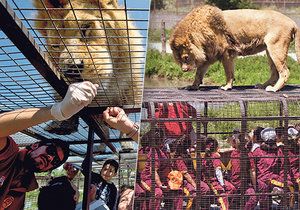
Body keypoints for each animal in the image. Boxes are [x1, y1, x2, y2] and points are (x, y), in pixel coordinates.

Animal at [170, 4, 298, 92]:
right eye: (179, 59)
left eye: (186, 57)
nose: (184, 70)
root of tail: (292, 22)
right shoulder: (208, 56)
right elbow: (199, 73)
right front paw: (193, 86)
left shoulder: (227, 52)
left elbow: (229, 72)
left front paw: (227, 86)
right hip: (269, 51)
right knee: (275, 73)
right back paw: (262, 85)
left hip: (276, 48)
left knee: (284, 71)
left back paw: (274, 89)